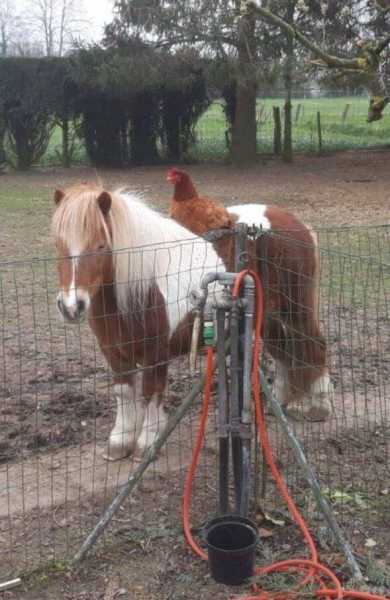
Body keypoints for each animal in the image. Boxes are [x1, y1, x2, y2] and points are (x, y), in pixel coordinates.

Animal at [51, 185, 332, 462]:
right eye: (59, 246)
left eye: (101, 245)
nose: (72, 306)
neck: (141, 285)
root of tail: (296, 223)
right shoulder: (114, 353)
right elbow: (123, 393)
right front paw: (119, 442)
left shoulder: (156, 354)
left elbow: (151, 392)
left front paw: (147, 443)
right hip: (266, 317)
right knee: (283, 352)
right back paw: (278, 402)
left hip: (295, 310)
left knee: (314, 344)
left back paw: (319, 406)